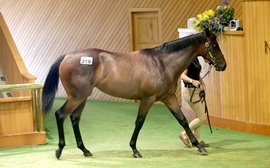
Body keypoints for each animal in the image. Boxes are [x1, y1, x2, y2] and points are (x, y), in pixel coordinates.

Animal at [42, 29, 226, 159]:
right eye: (214, 46)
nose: (223, 65)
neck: (162, 64)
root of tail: (67, 56)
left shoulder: (169, 98)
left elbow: (182, 120)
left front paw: (198, 146)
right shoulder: (147, 99)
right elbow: (139, 122)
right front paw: (134, 149)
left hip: (83, 97)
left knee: (74, 118)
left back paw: (85, 150)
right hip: (76, 97)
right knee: (60, 115)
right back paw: (59, 149)